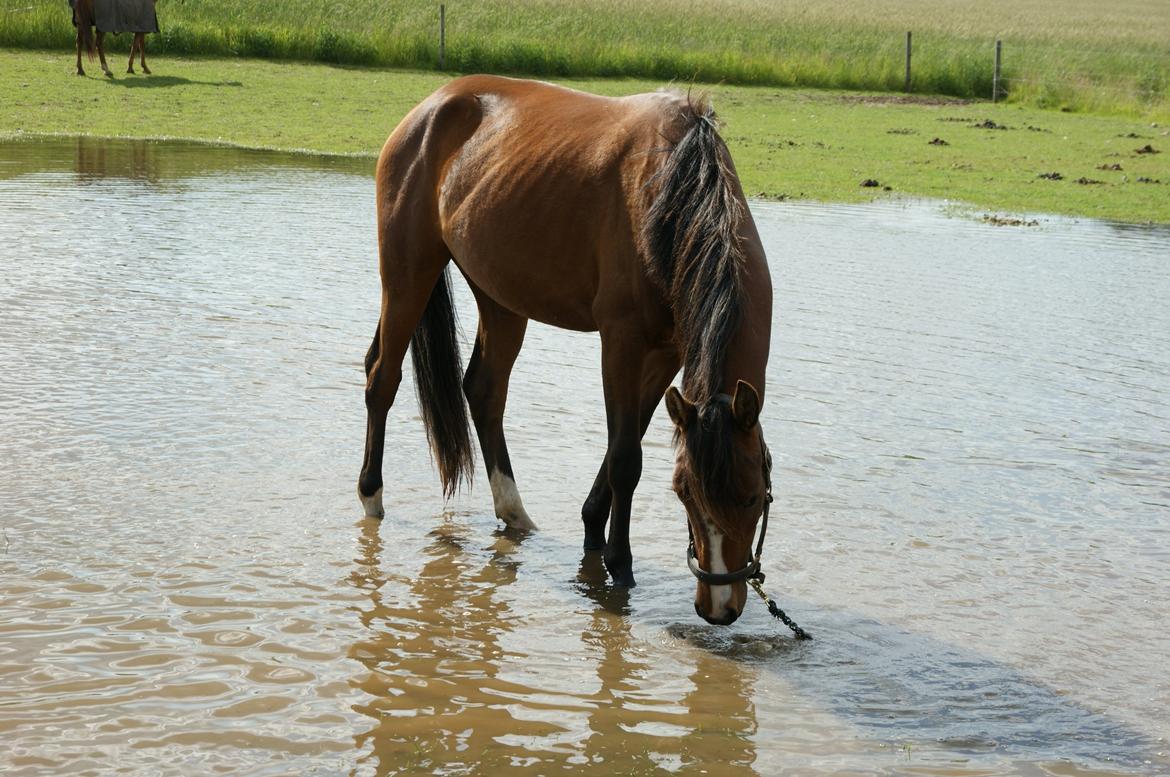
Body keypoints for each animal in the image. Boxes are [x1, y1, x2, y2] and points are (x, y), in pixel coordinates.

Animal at [358, 75, 774, 625]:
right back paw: (371, 496)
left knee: (483, 391)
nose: (719, 606)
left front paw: (593, 529)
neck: (673, 192)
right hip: (408, 272)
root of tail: (430, 106)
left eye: (751, 498)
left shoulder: (668, 355)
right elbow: (625, 458)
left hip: (499, 295)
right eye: (685, 494)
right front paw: (619, 566)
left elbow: (624, 442)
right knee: (382, 378)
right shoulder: (621, 342)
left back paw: (514, 513)